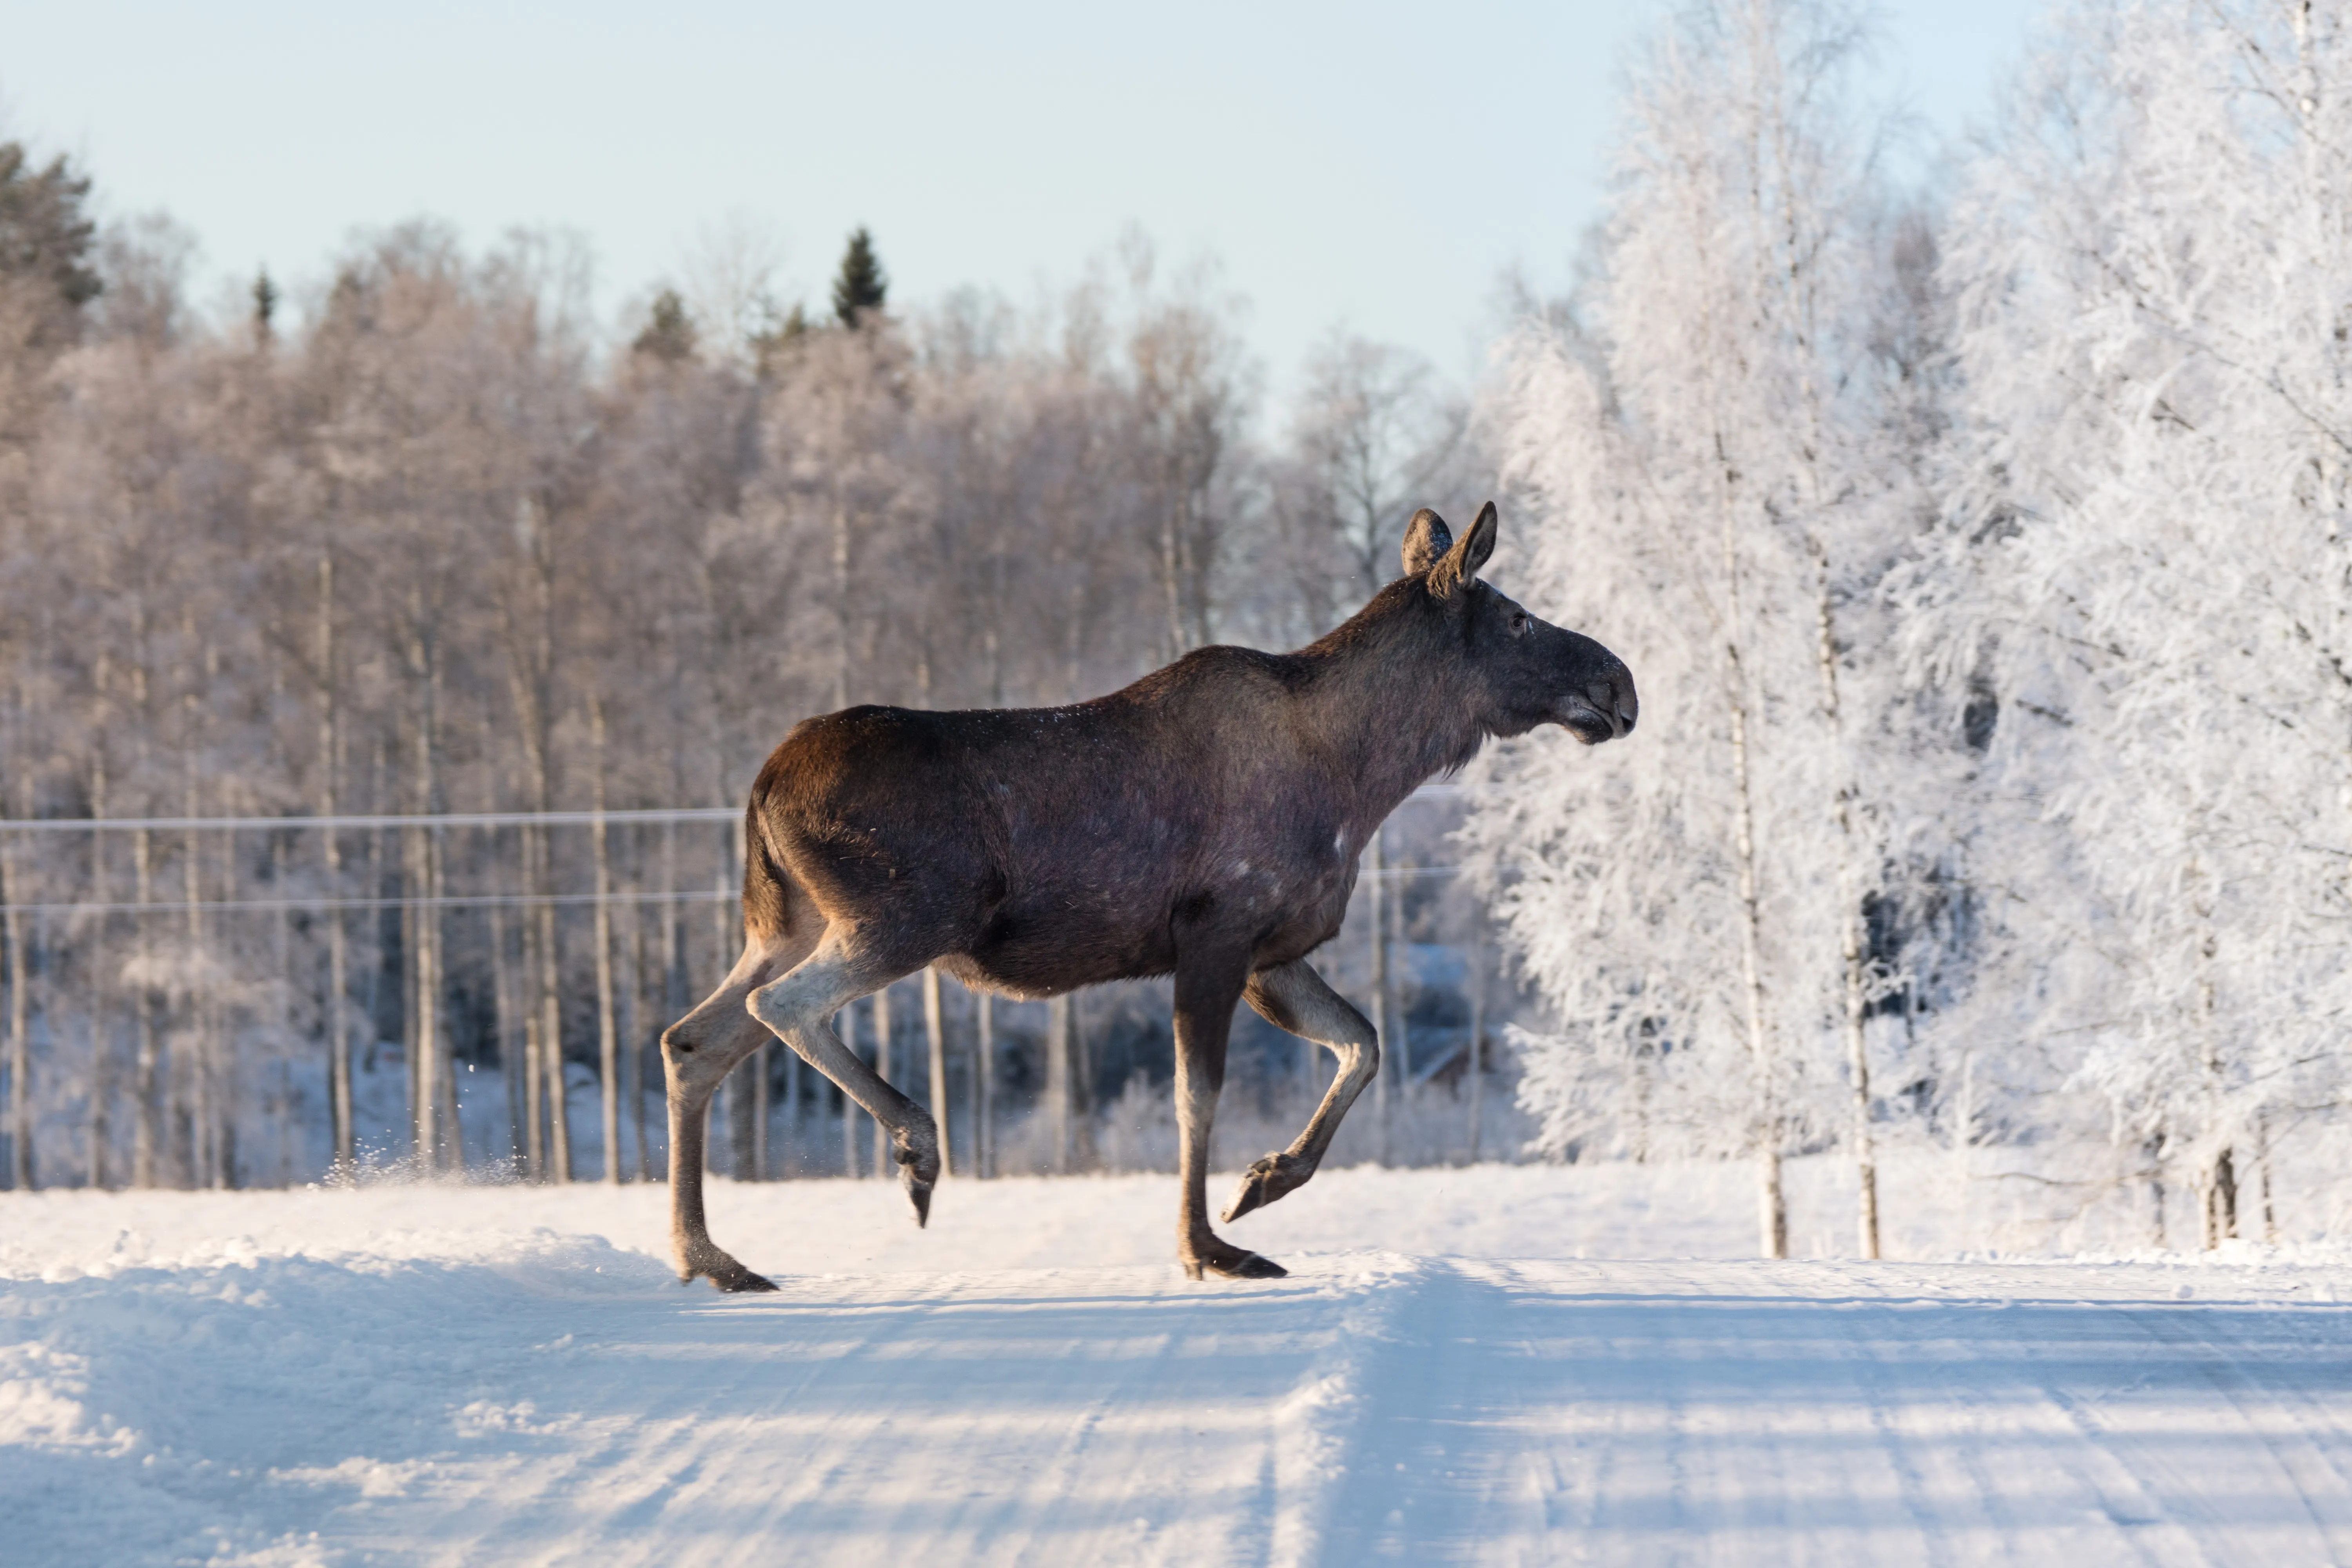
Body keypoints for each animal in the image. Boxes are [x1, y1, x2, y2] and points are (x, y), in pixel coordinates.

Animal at [663, 501, 1637, 1288]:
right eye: (1517, 617)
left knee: (693, 1040)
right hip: (909, 914)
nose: (1619, 683)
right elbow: (1196, 1094)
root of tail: (762, 785)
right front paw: (1207, 1245)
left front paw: (1265, 1180)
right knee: (784, 1006)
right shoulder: (1218, 932)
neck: (1367, 775)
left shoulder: (1272, 952)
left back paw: (710, 1255)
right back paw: (914, 1147)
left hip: (786, 923)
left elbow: (1363, 1042)